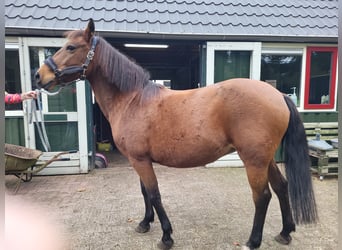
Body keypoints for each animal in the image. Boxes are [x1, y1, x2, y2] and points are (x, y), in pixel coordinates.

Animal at [36, 20, 316, 250]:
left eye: (71, 47)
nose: (40, 76)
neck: (132, 100)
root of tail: (277, 95)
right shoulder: (139, 160)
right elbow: (145, 193)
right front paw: (144, 223)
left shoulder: (140, 160)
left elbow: (155, 194)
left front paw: (166, 236)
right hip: (265, 158)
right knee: (281, 187)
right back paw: (285, 233)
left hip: (254, 160)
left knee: (263, 196)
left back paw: (253, 241)